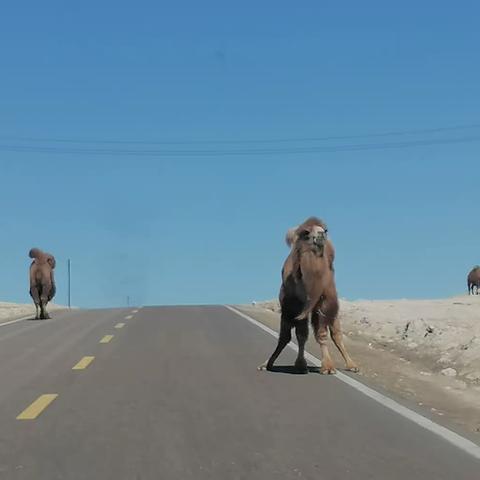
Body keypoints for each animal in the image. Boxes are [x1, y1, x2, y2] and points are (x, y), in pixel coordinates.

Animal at [258, 217, 356, 376]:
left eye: (325, 230)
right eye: (306, 233)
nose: (321, 235)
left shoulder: (323, 300)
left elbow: (322, 333)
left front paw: (328, 367)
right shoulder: (294, 305)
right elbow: (299, 335)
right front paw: (301, 365)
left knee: (336, 334)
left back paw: (352, 365)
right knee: (287, 336)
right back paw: (268, 364)